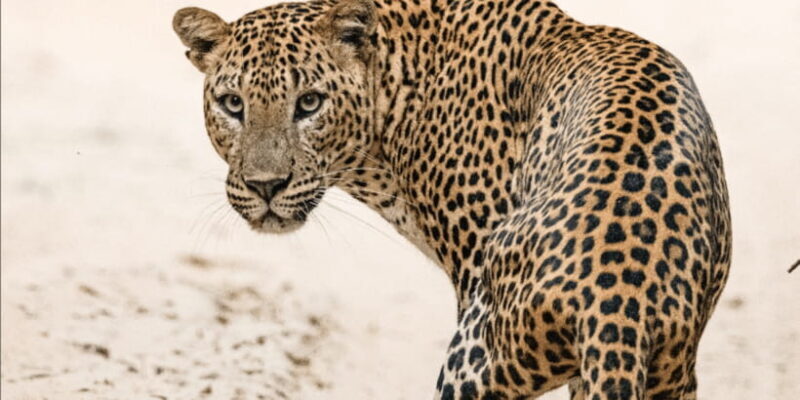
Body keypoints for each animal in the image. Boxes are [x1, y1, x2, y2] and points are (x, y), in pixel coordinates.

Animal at [173, 0, 731, 398]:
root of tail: (618, 294)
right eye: (232, 104)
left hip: (474, 359)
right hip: (669, 370)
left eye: (309, 103)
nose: (266, 186)